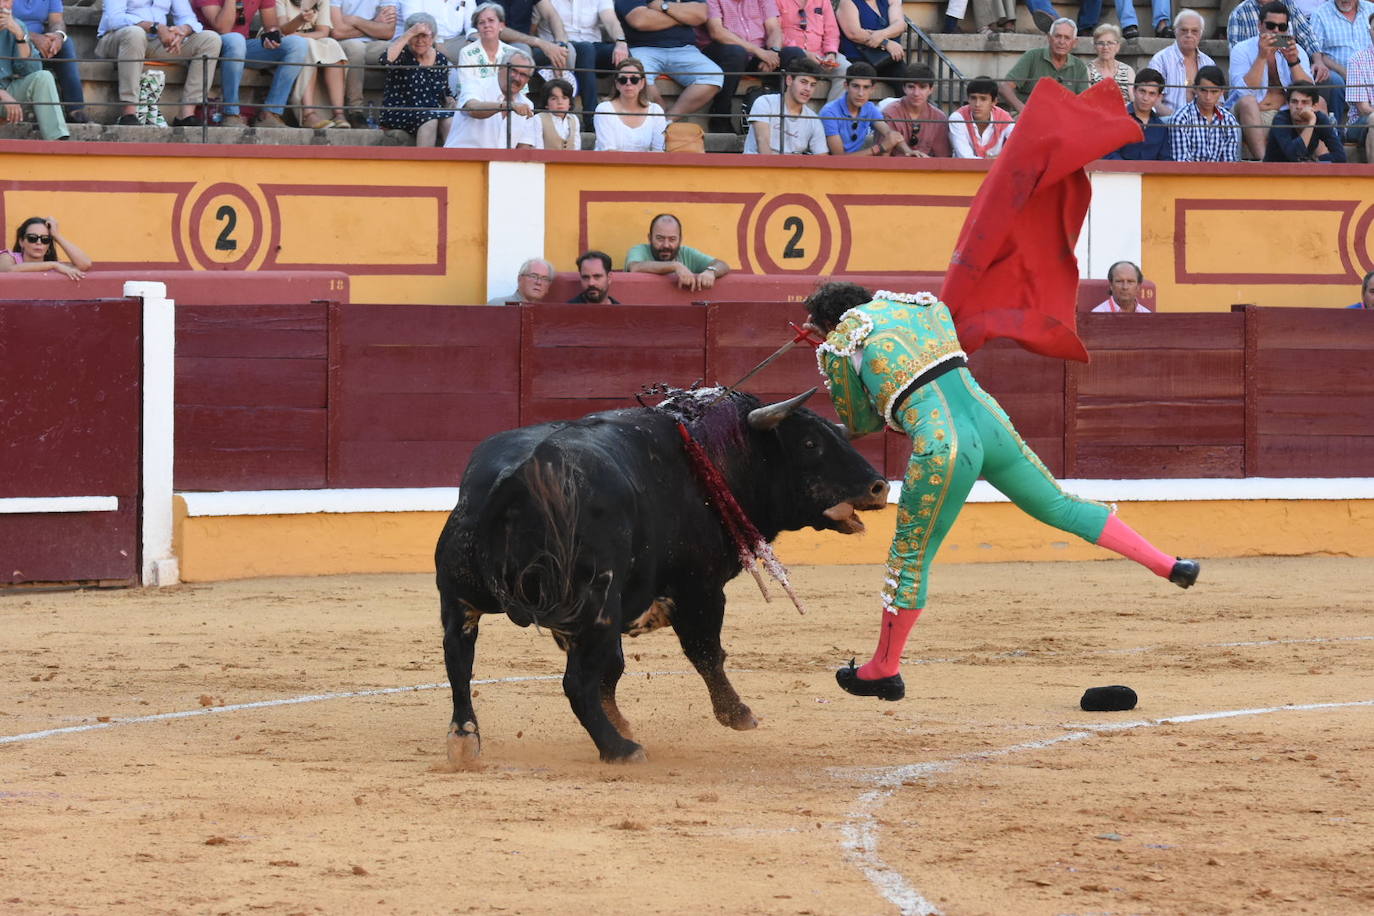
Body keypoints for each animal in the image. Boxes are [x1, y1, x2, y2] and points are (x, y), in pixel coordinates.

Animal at [439, 390, 890, 769]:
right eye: (811, 443)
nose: (879, 486)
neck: (712, 454)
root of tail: (514, 479)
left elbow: (614, 669)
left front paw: (621, 719)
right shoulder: (700, 589)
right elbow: (706, 653)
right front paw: (737, 714)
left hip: (462, 600)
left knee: (459, 664)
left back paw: (464, 739)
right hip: (596, 607)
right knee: (575, 683)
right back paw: (620, 750)